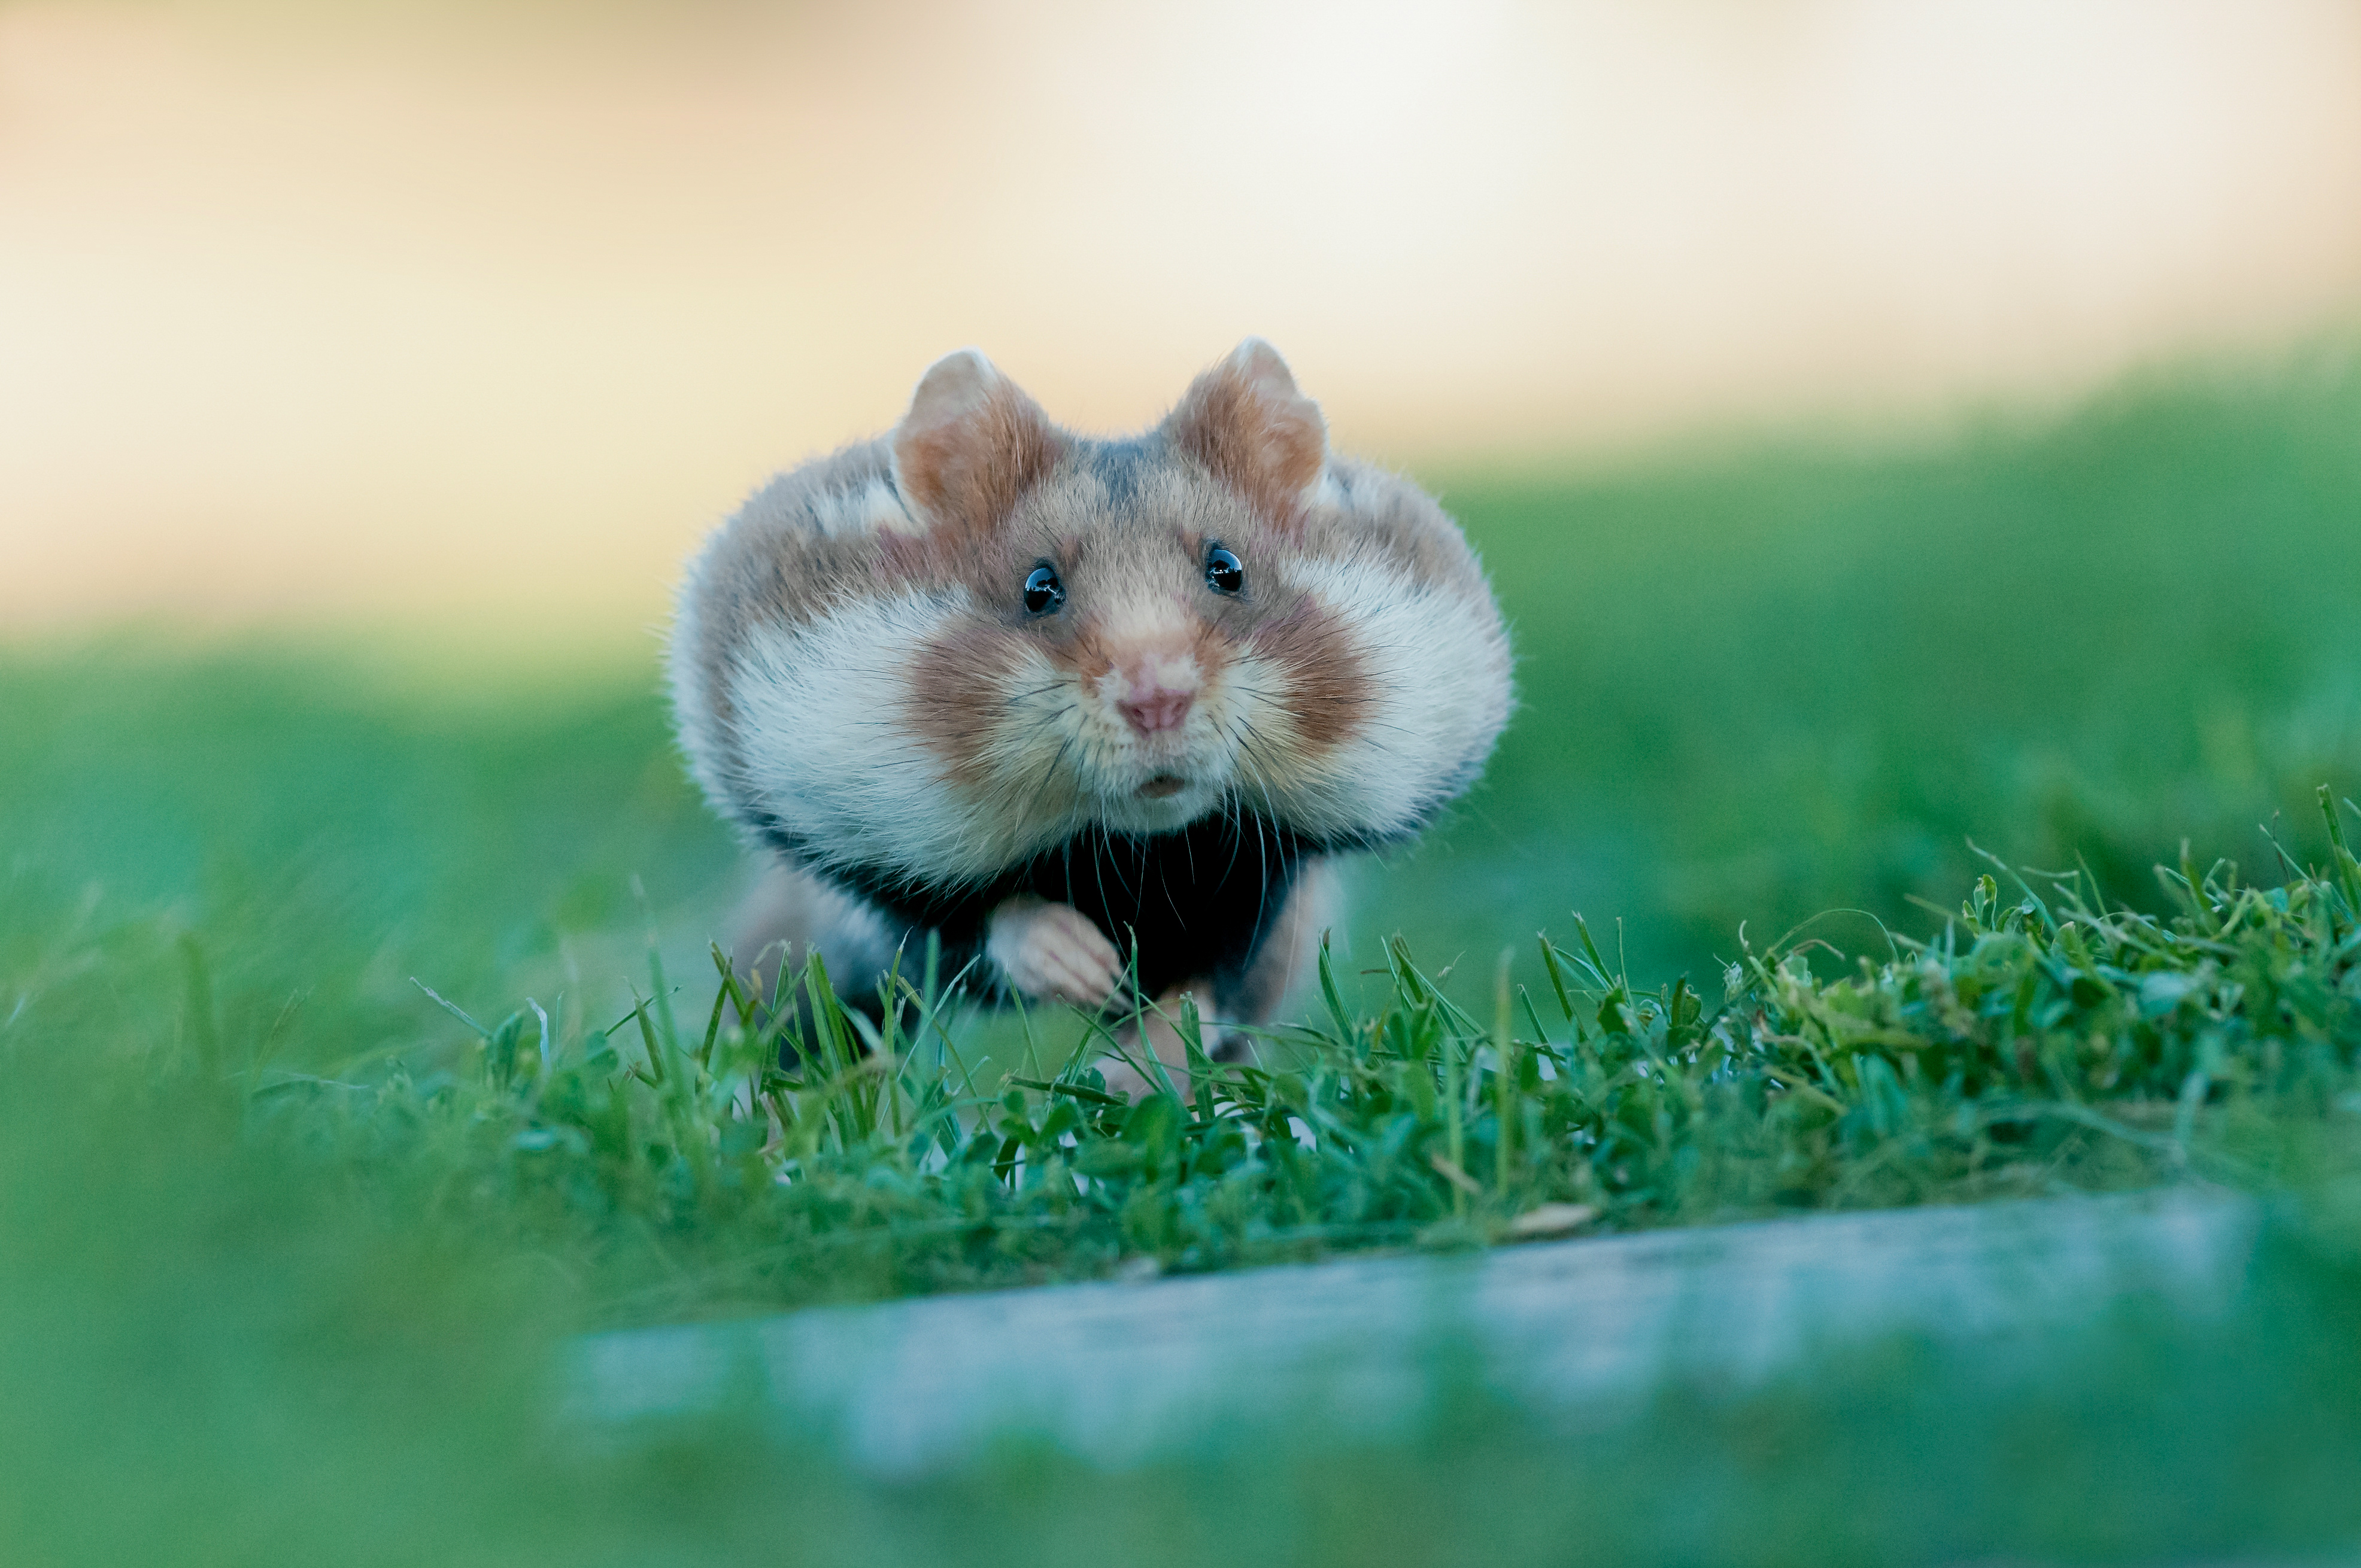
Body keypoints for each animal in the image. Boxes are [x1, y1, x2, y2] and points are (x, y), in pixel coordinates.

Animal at [666, 338, 1511, 1095]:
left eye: (1227, 570)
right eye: (1039, 588)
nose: (1157, 700)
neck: (1137, 850)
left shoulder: (1265, 885)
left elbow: (1206, 992)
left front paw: (1130, 1066)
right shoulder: (874, 860)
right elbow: (984, 920)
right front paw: (1088, 967)